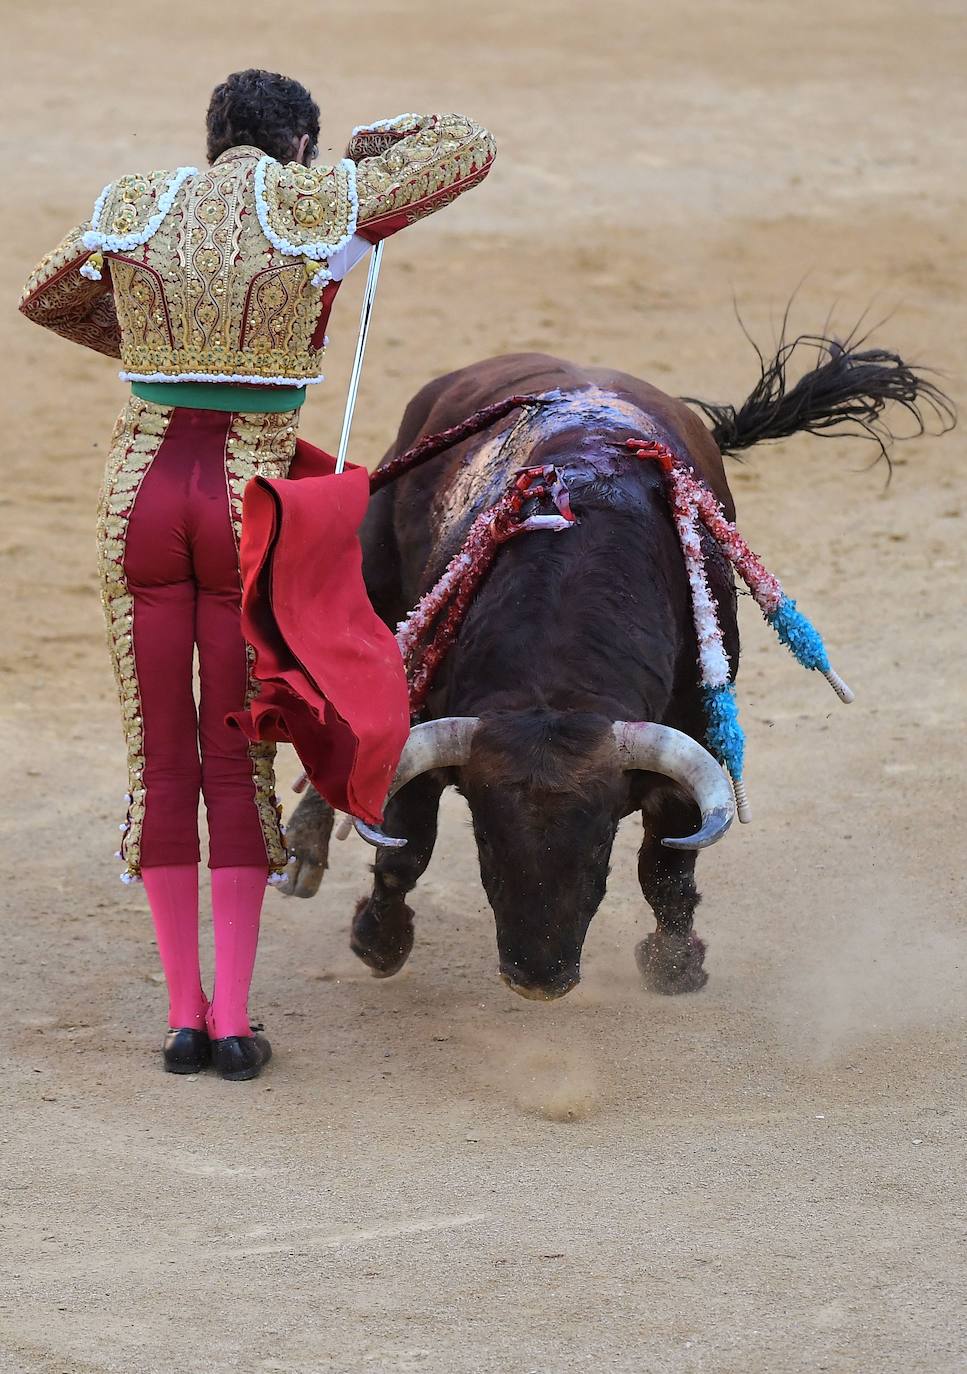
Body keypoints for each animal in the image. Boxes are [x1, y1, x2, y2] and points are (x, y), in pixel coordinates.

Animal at [280, 336, 950, 994]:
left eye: (602, 835)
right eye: (485, 836)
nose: (537, 979)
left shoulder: (691, 743)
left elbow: (666, 867)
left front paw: (676, 964)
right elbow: (406, 848)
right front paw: (378, 941)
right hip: (372, 576)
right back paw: (305, 849)